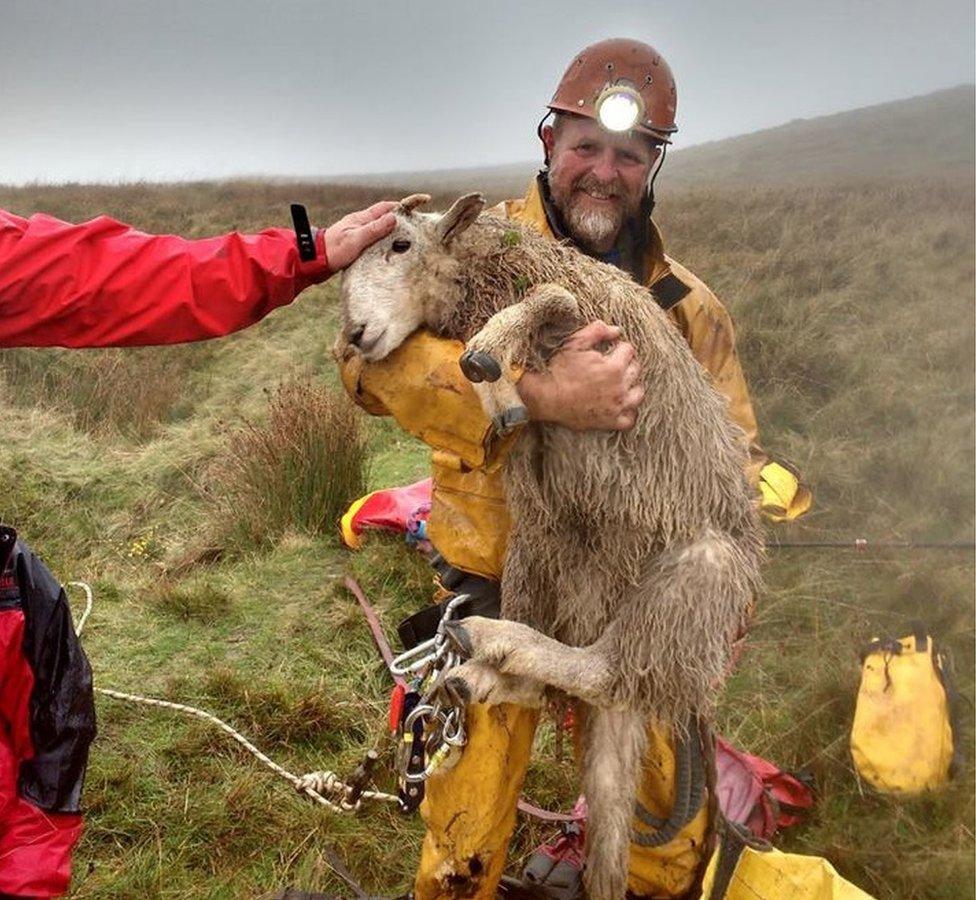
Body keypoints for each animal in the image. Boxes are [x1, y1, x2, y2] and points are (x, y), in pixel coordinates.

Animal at [338, 193, 764, 896]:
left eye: (400, 245)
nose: (351, 336)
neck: (494, 274)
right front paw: (499, 387)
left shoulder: (583, 310)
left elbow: (547, 298)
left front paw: (489, 362)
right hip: (545, 537)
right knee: (562, 686)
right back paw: (484, 669)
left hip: (697, 576)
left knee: (608, 673)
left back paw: (498, 643)